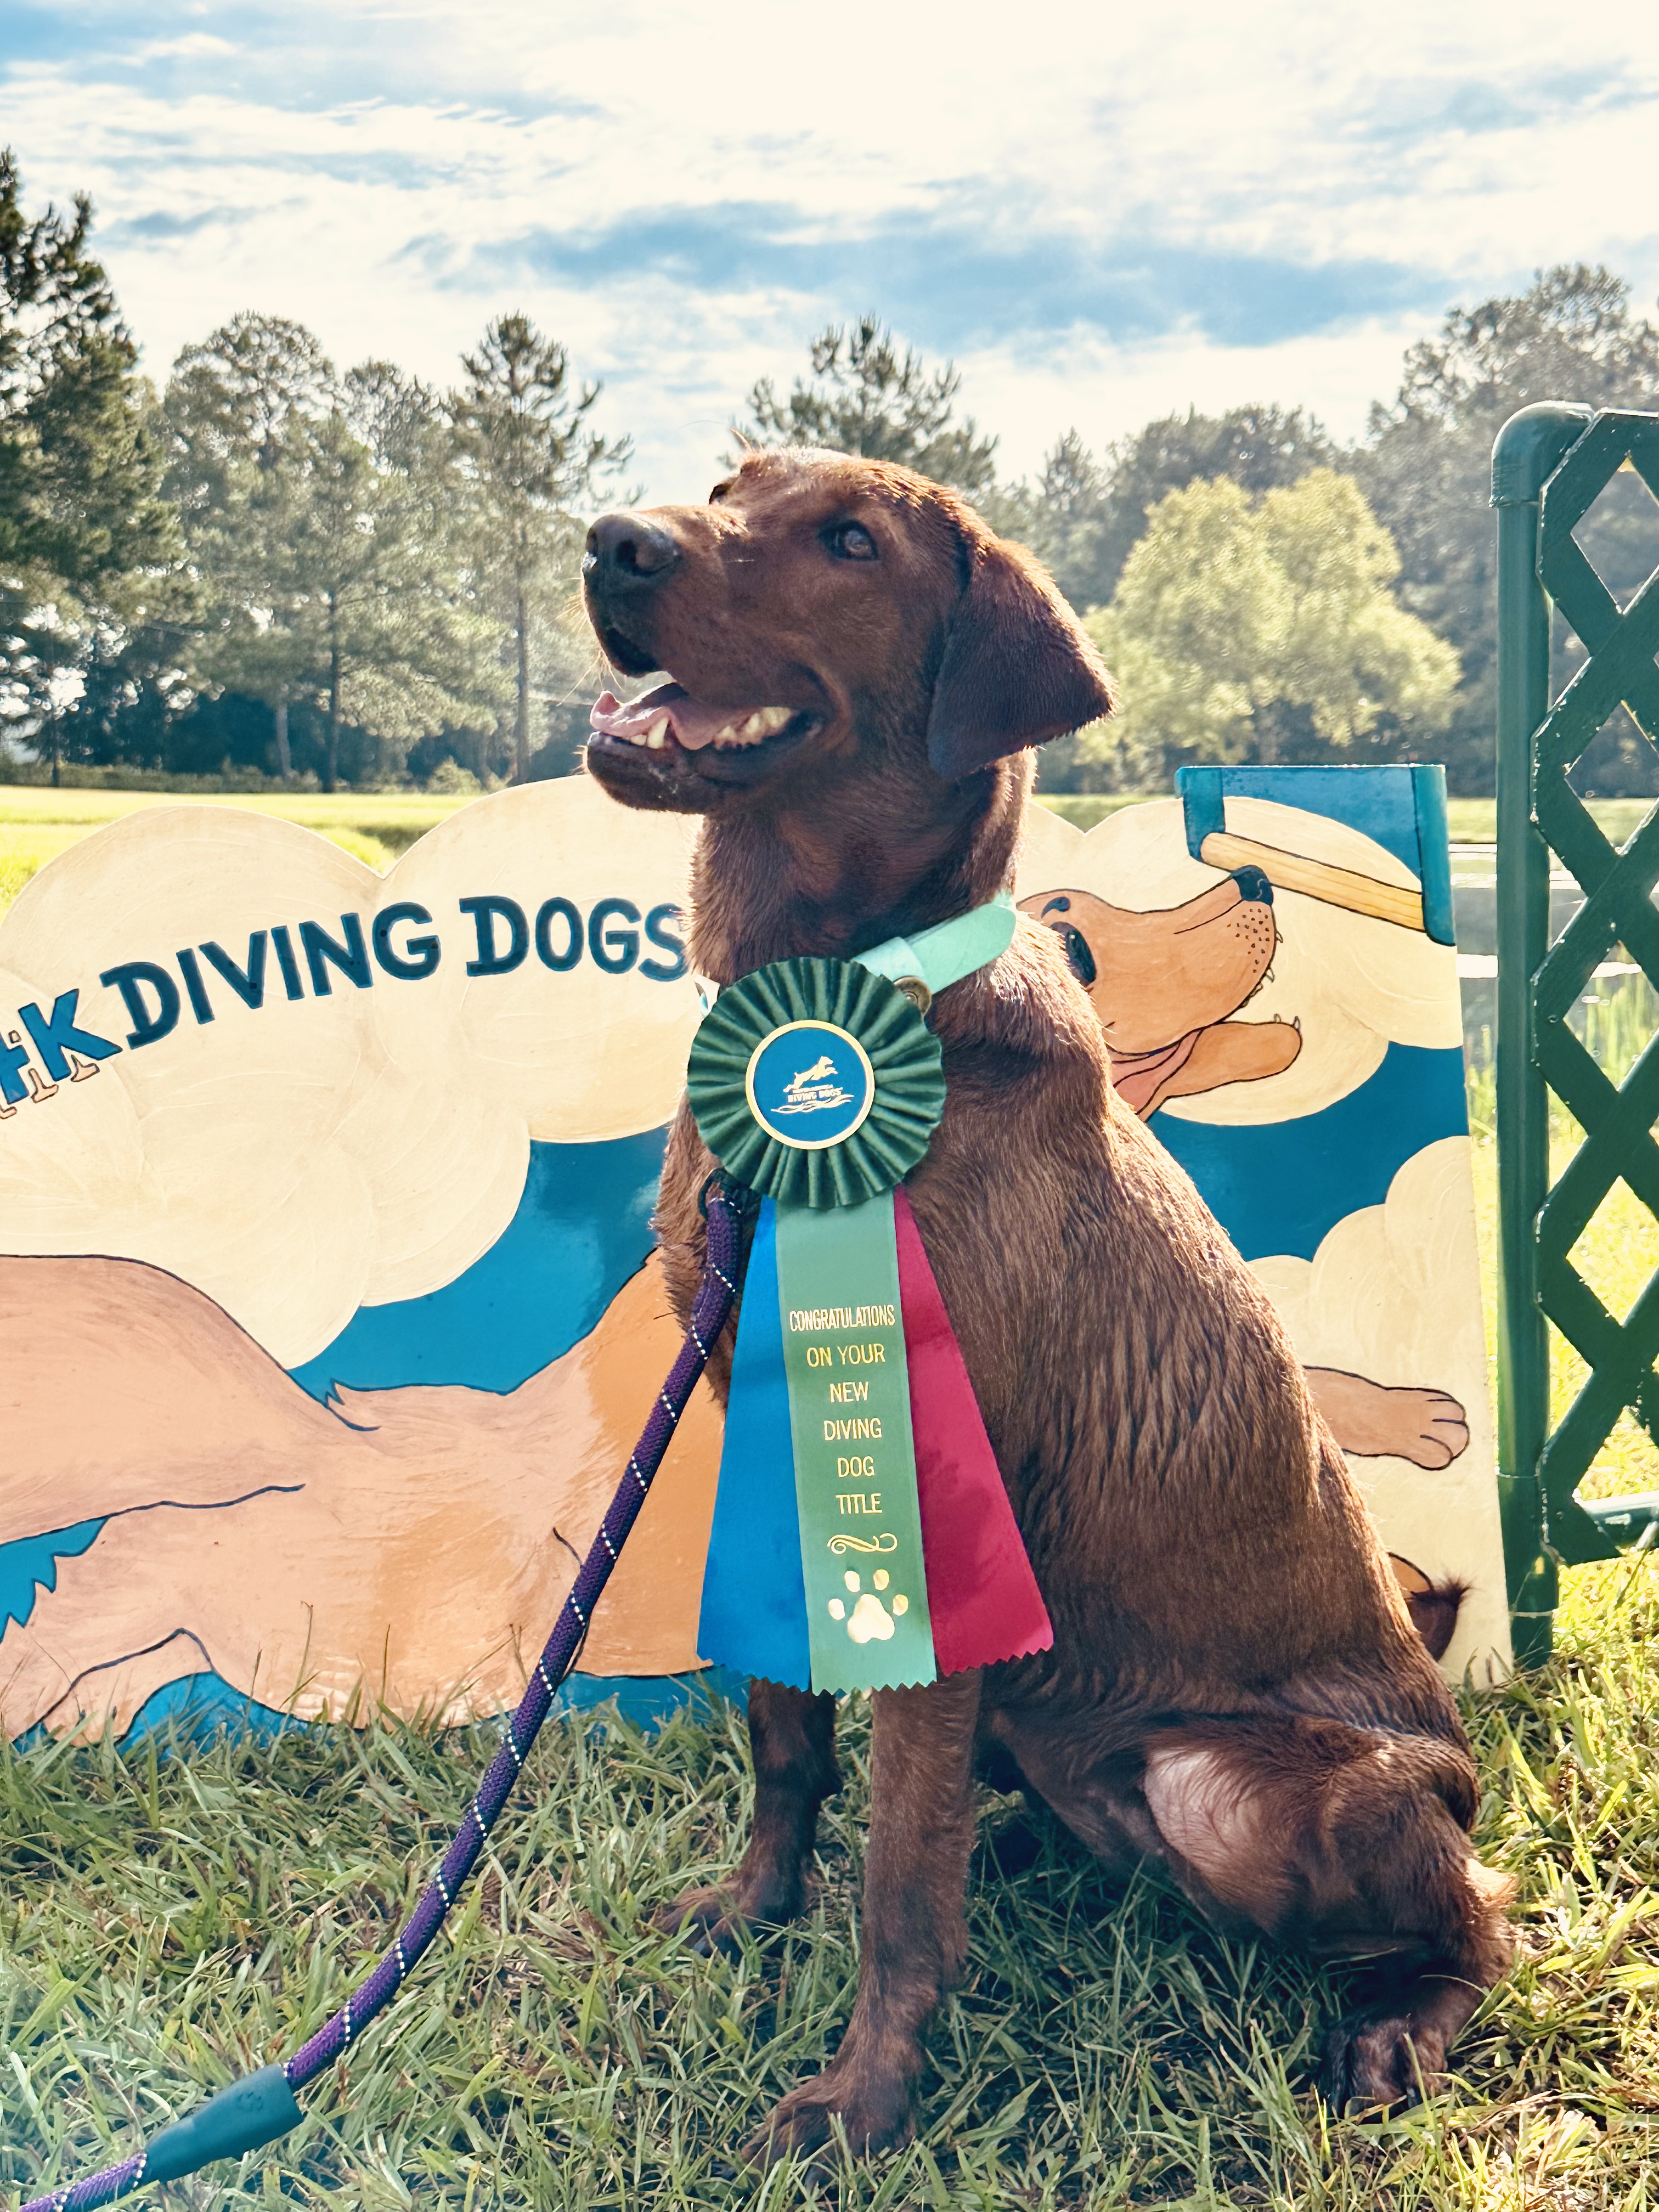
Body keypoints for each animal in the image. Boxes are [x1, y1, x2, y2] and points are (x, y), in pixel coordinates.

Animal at [581, 450, 1513, 2160]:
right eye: (729, 483)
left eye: (849, 540)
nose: (612, 542)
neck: (829, 1003)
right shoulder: (764, 1436)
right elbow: (789, 1747)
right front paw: (751, 1915)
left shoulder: (935, 1505)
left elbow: (897, 1882)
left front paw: (861, 2099)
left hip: (1257, 1790)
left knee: (1480, 1909)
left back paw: (1401, 2029)